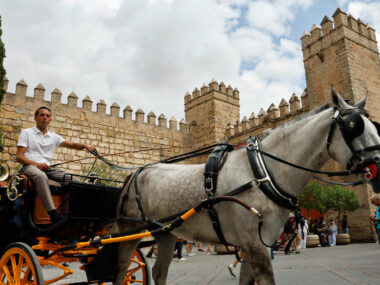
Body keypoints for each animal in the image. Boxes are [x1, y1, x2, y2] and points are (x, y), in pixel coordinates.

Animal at [112, 87, 380, 284]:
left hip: (166, 234)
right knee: (120, 271)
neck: (263, 172)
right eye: (354, 126)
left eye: (374, 125)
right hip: (128, 232)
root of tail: (136, 172)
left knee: (159, 272)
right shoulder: (255, 246)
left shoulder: (256, 244)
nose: (378, 167)